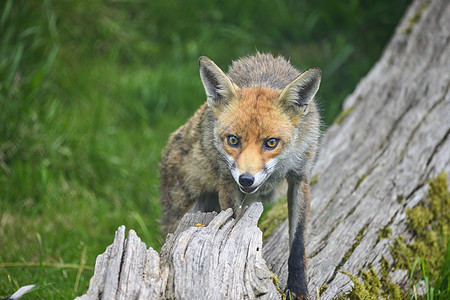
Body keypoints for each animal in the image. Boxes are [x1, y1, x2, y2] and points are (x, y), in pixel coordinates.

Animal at [160, 52, 322, 298]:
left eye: (271, 142)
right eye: (233, 140)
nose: (246, 179)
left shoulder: (300, 177)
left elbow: (298, 242)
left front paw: (298, 287)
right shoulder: (227, 182)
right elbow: (233, 233)